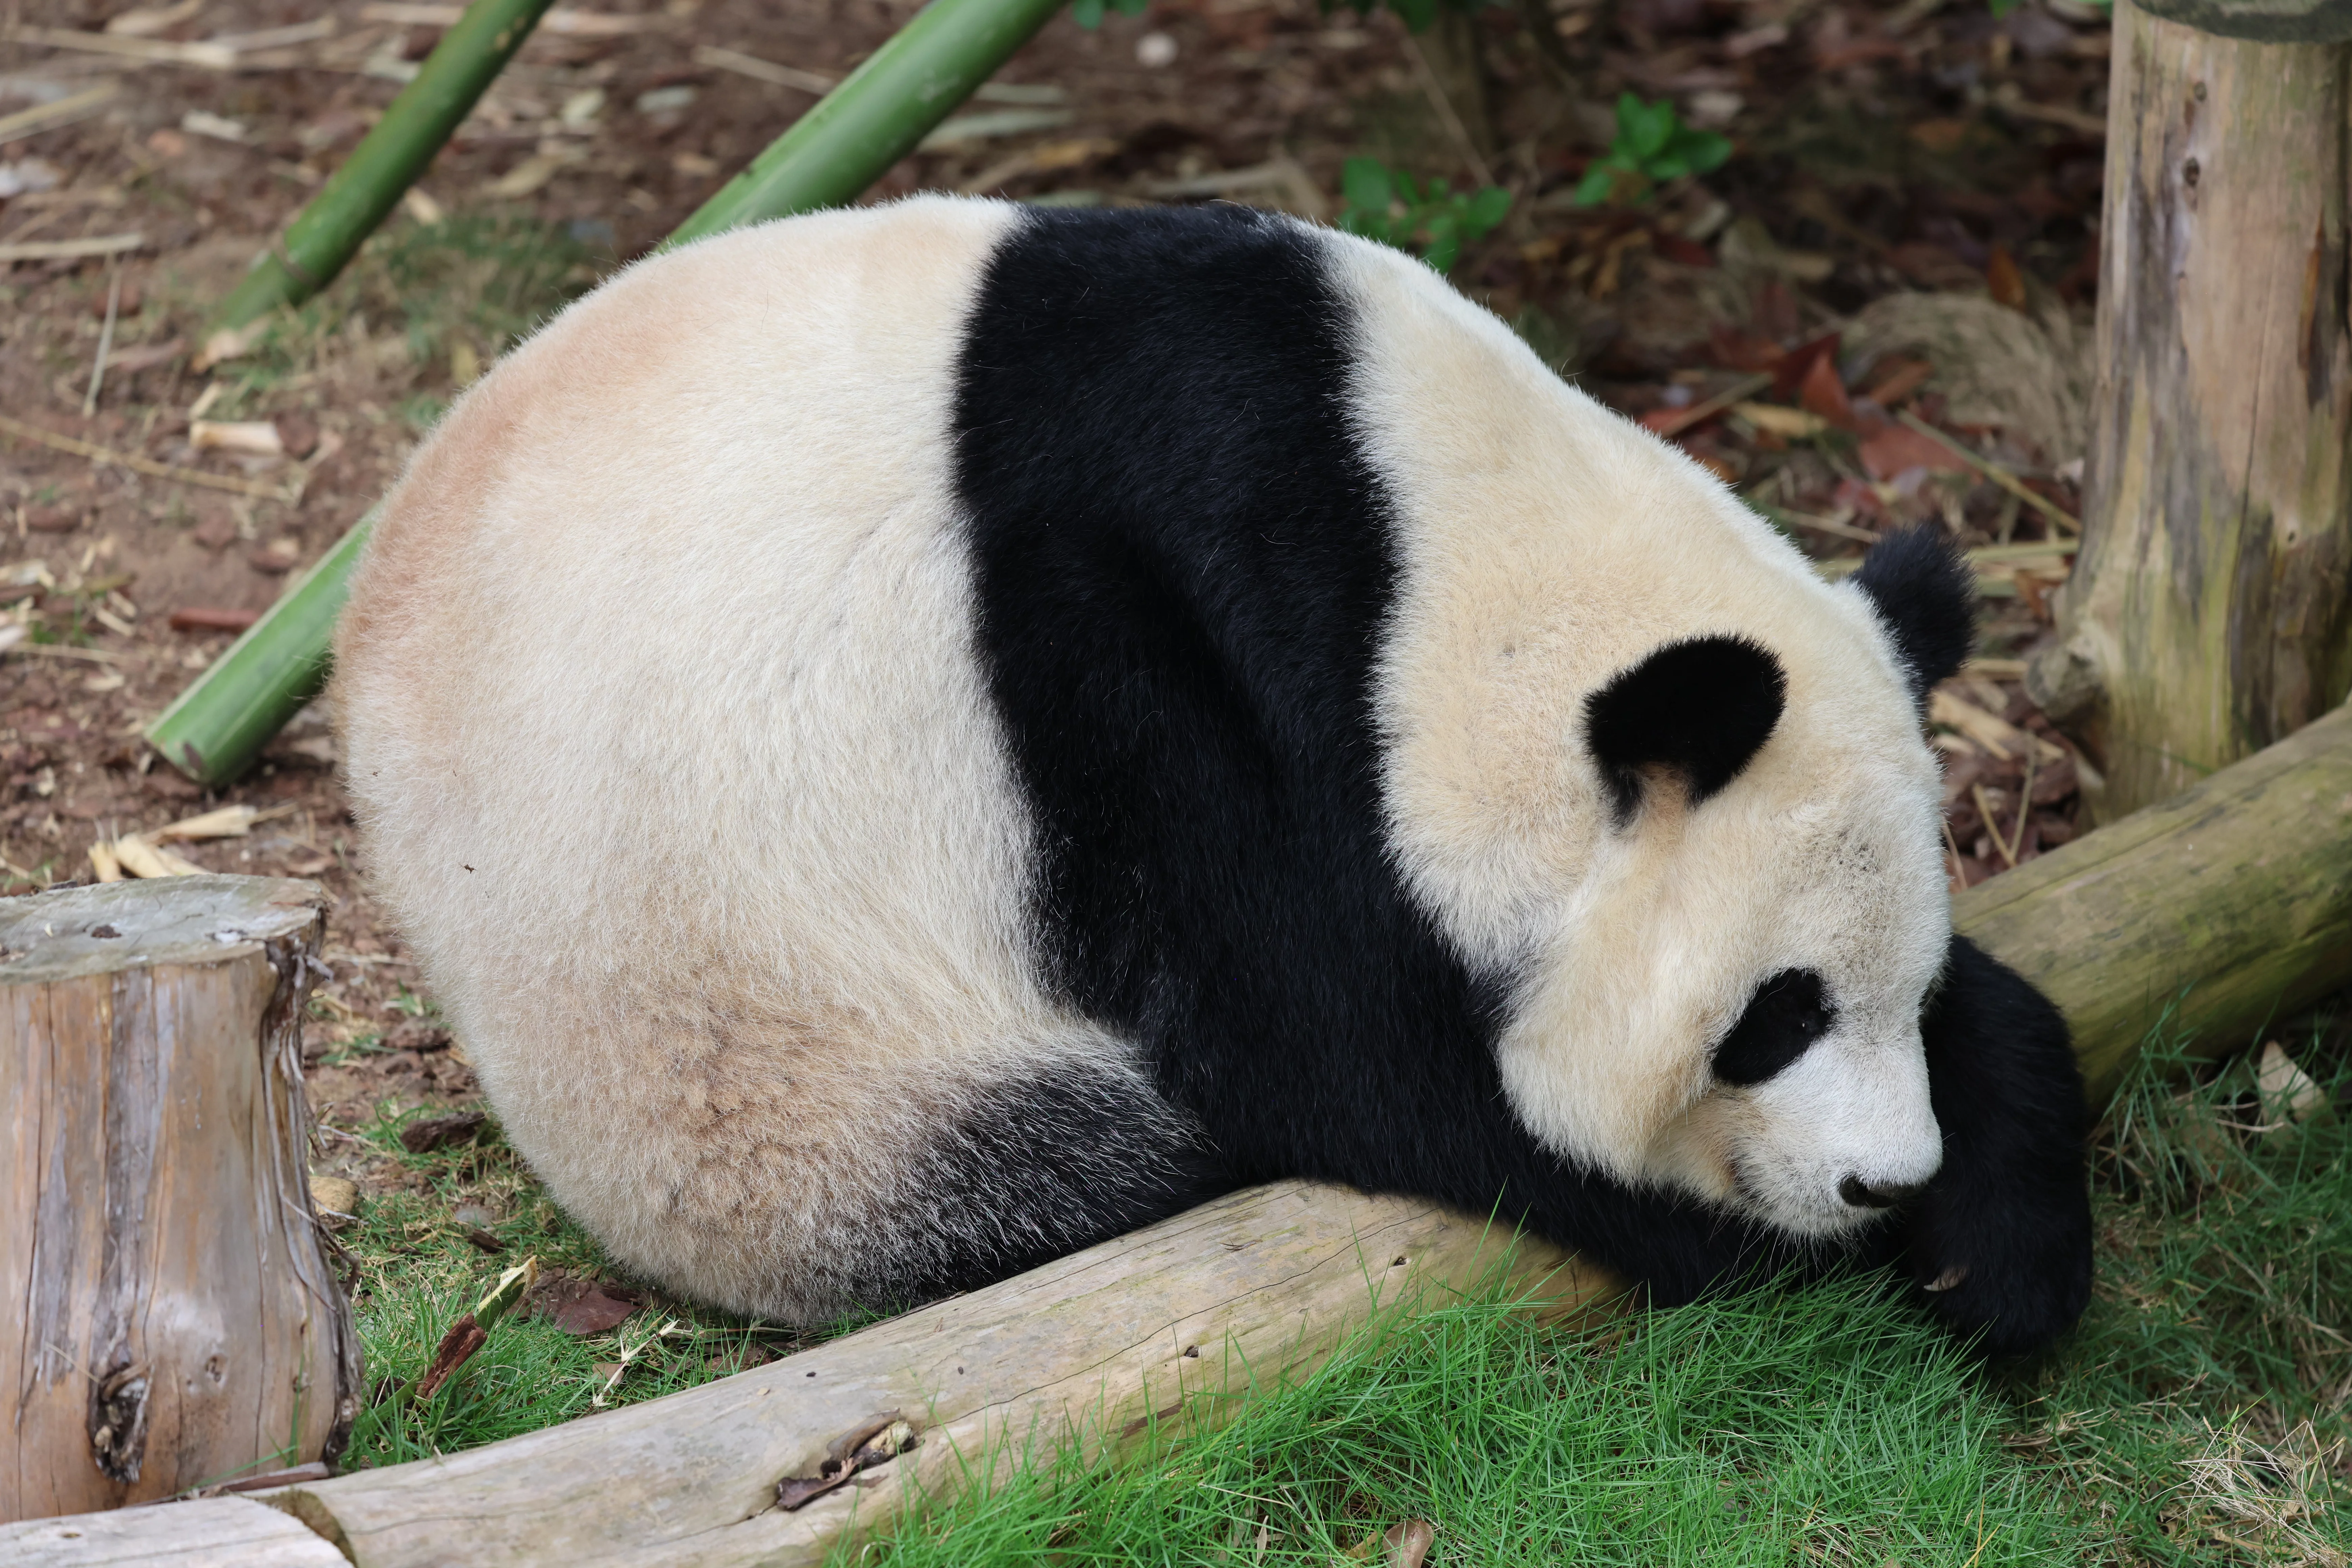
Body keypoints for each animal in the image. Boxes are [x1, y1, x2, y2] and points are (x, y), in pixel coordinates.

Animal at [334, 196, 2093, 1354]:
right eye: (1774, 1016)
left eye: (1894, 985)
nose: (1880, 1177)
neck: (1425, 542)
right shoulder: (1118, 635)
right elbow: (1336, 1050)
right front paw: (1742, 1226)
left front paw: (1999, 1231)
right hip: (746, 1065)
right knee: (1063, 1157)